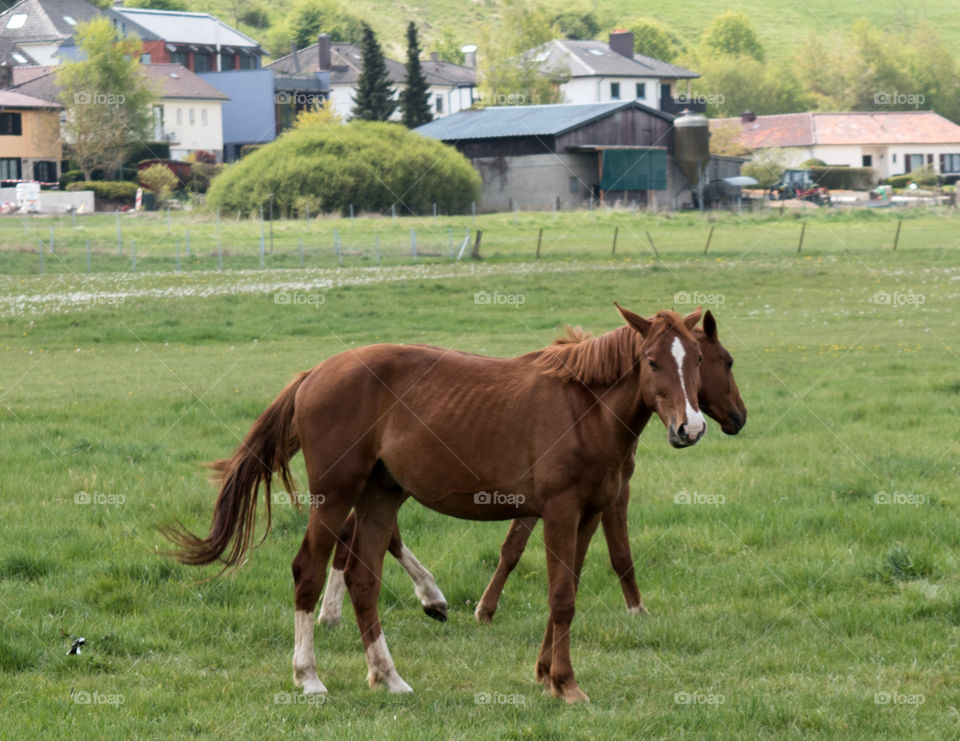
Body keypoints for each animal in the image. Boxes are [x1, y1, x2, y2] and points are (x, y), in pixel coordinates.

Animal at [163, 304, 704, 704]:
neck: (582, 408)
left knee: (363, 579)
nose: (691, 427)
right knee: (309, 571)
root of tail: (315, 372)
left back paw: (388, 676)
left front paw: (548, 673)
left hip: (380, 496)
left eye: (698, 359)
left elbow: (564, 595)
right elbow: (562, 599)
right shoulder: (560, 513)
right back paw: (309, 676)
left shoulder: (588, 516)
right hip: (335, 496)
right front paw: (566, 684)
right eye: (651, 360)